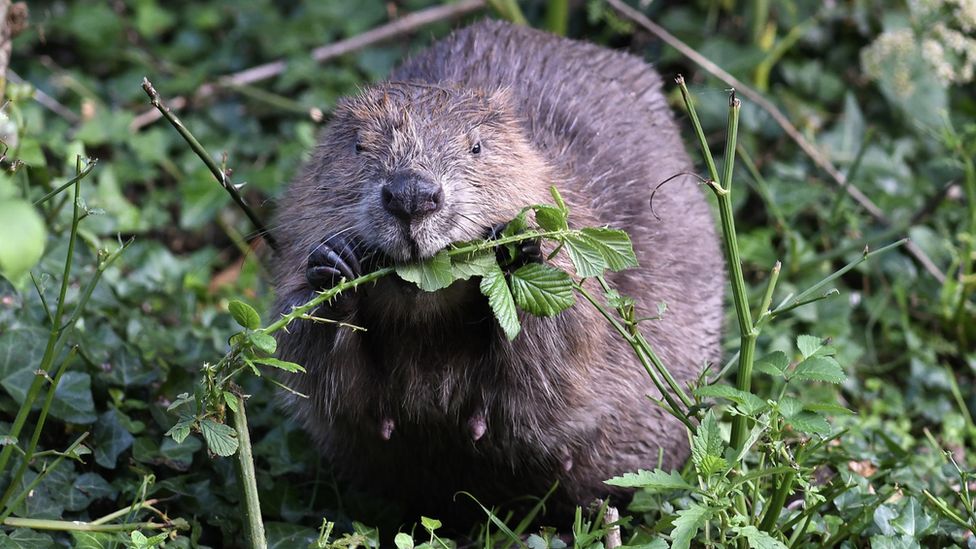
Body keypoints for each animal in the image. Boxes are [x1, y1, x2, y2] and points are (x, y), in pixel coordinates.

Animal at [268, 19, 724, 520]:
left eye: (477, 146)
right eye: (357, 145)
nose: (412, 195)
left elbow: (559, 359)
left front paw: (517, 249)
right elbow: (323, 379)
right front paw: (333, 268)